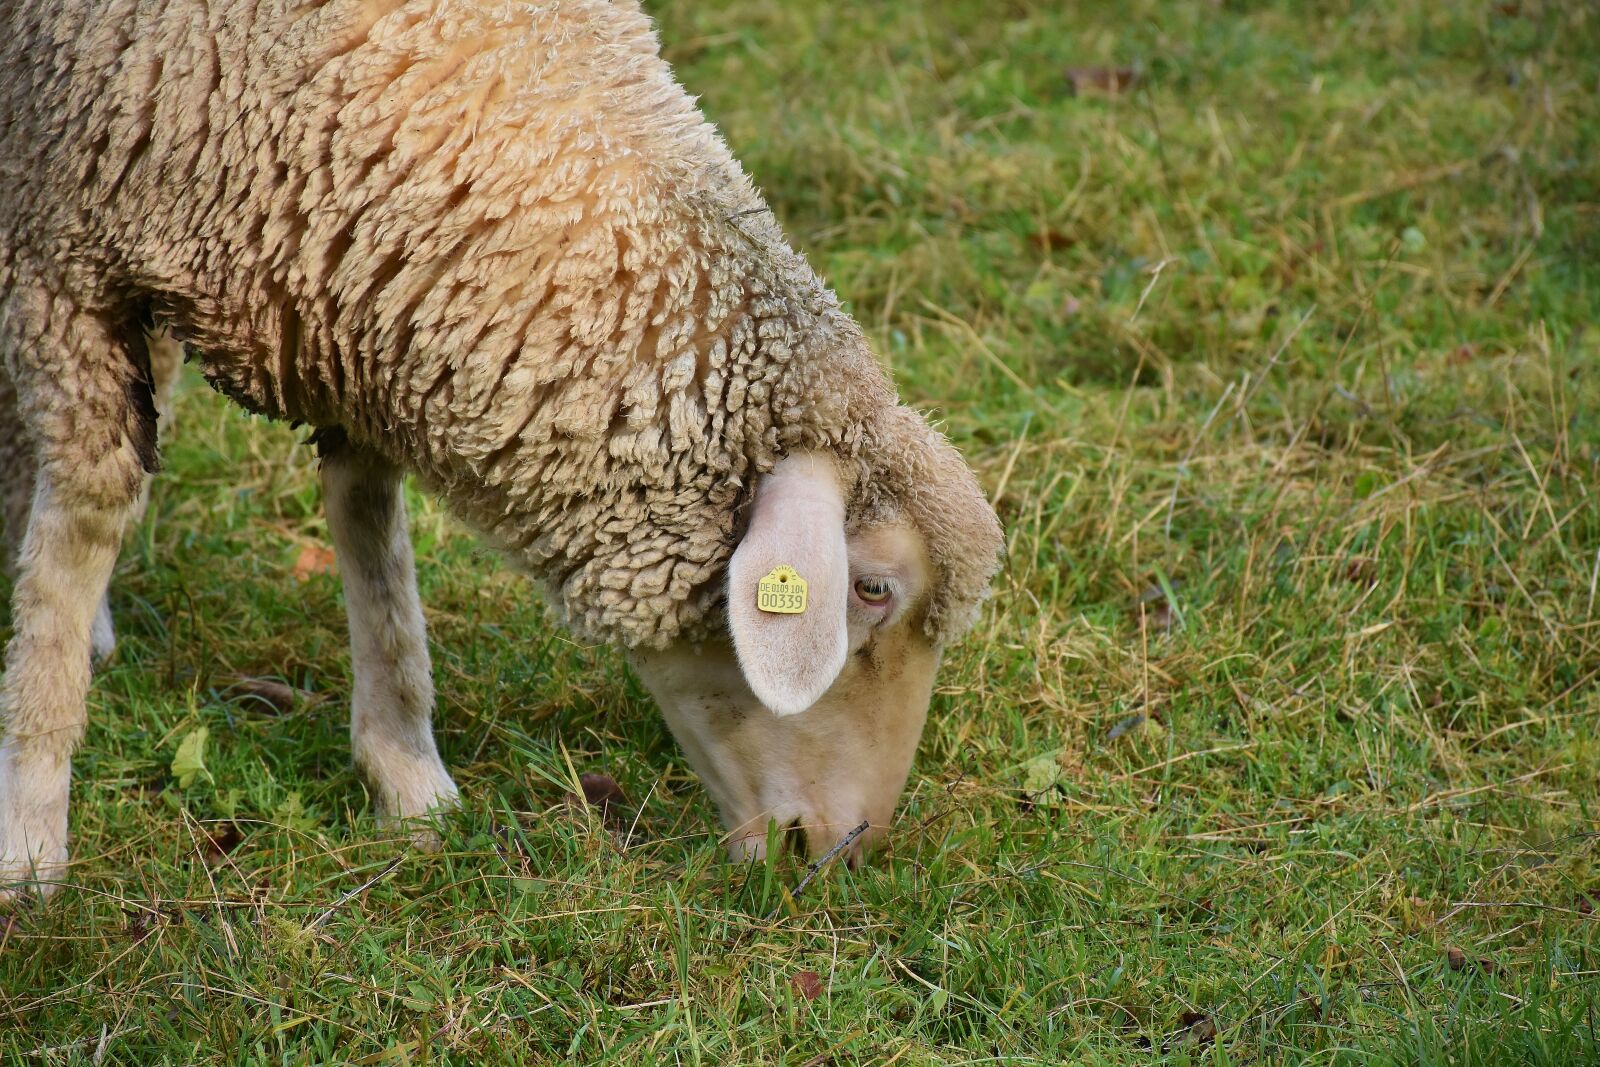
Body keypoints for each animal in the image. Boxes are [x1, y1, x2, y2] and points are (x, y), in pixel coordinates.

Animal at [0, 0, 1004, 902]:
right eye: (871, 589)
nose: (841, 849)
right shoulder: (63, 249)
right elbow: (84, 518)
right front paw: (31, 831)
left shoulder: (351, 301)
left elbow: (370, 531)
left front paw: (409, 777)